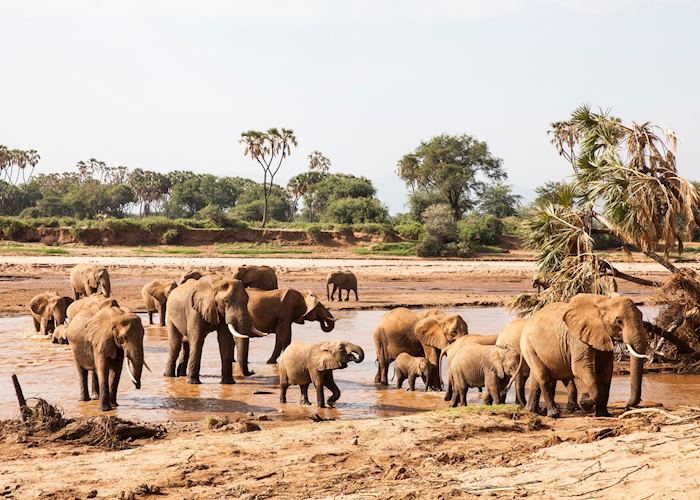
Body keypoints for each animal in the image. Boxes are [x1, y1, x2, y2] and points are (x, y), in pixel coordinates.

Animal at [521, 293, 649, 418]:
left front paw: (604, 414)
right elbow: (580, 368)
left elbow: (606, 371)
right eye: (619, 321)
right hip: (528, 346)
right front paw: (584, 400)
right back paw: (553, 414)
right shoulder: (578, 338)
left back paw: (533, 412)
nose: (627, 406)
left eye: (642, 316)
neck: (603, 303)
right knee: (543, 377)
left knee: (535, 378)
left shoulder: (603, 336)